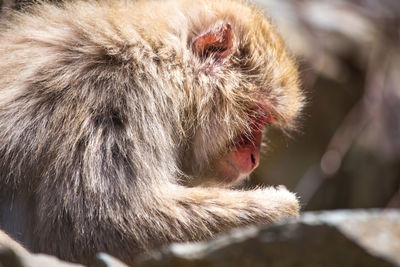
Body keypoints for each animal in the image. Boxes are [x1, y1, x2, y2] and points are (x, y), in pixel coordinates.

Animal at [0, 0, 304, 264]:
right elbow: (103, 220)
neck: (167, 61)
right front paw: (282, 206)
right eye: (258, 118)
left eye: (265, 122)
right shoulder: (123, 93)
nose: (254, 158)